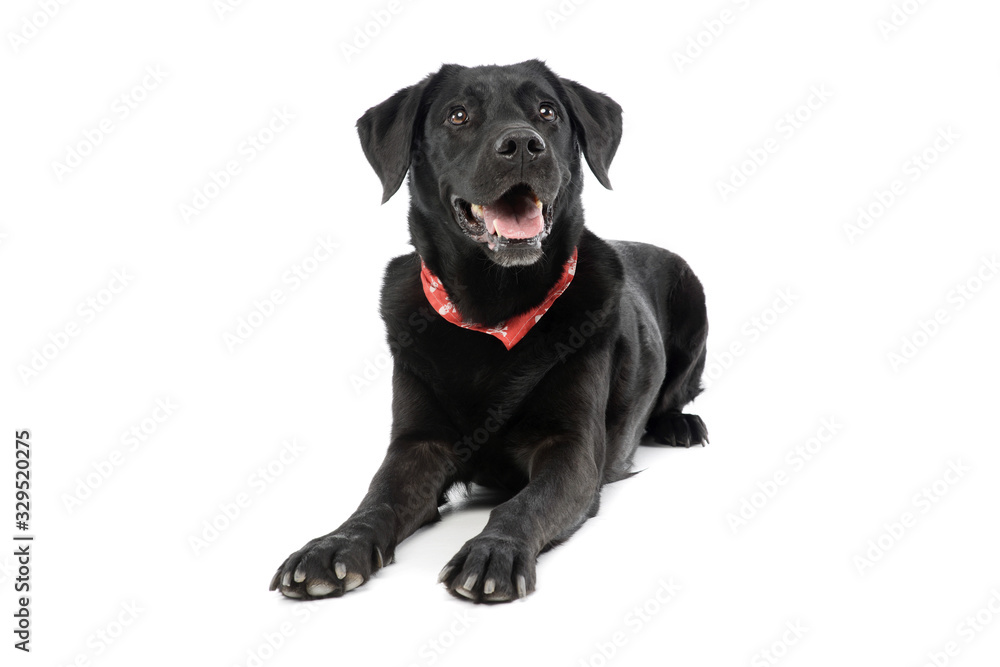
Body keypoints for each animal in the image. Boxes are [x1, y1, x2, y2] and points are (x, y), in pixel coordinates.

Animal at [272, 60, 712, 604]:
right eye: (458, 115)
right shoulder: (417, 443)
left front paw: (494, 551)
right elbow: (377, 497)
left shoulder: (571, 450)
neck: (491, 310)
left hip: (695, 302)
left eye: (547, 111)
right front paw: (334, 545)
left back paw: (678, 424)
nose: (522, 144)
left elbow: (524, 503)